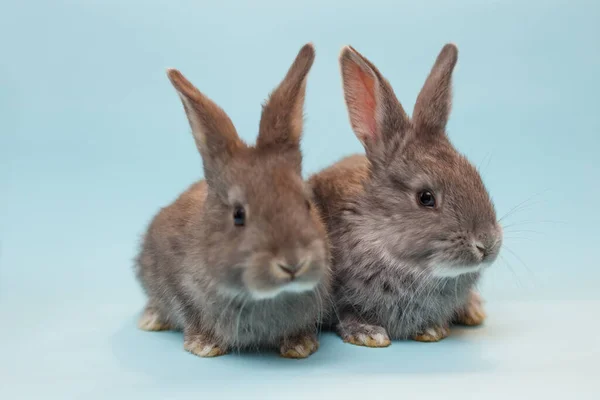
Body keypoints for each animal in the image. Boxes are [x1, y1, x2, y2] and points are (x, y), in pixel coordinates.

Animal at [135, 43, 330, 360]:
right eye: (238, 215)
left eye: (307, 204)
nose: (292, 263)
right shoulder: (174, 278)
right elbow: (186, 309)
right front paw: (203, 345)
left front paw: (300, 345)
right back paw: (150, 320)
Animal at [310, 42, 502, 346]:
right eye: (426, 197)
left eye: (476, 177)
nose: (487, 244)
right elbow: (348, 313)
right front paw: (368, 333)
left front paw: (431, 329)